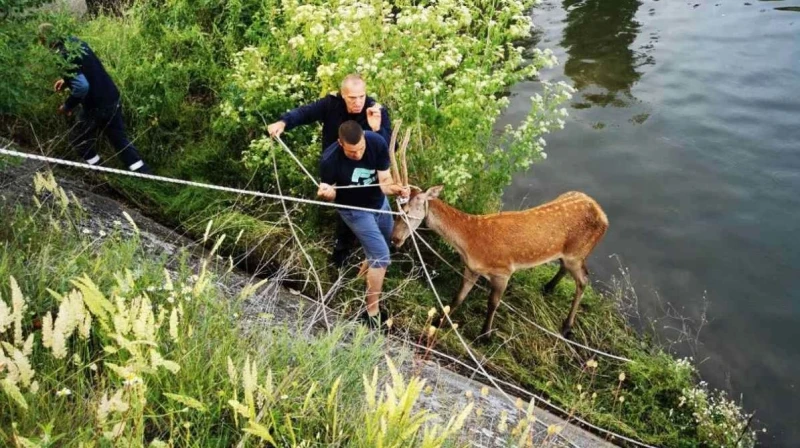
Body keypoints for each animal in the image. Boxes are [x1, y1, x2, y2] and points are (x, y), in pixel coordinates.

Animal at [390, 156, 608, 338]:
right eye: (396, 207)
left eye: (406, 211)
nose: (394, 240)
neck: (470, 242)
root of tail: (603, 215)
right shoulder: (471, 268)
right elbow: (458, 297)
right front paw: (440, 322)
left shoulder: (503, 271)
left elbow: (492, 303)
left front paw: (485, 336)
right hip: (569, 254)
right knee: (567, 268)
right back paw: (548, 288)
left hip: (577, 253)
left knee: (583, 280)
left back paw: (567, 326)